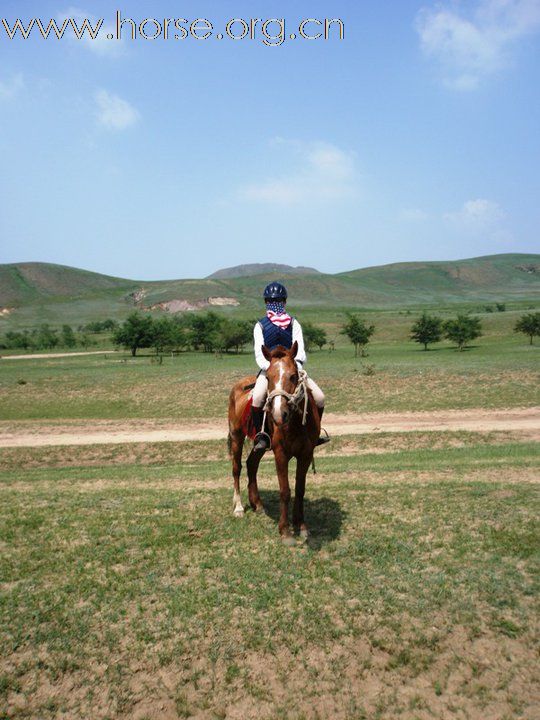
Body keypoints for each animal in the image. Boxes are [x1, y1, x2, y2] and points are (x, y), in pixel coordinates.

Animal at [228, 340, 320, 544]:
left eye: (293, 376)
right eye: (269, 378)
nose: (279, 415)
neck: (295, 423)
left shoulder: (306, 454)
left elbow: (299, 489)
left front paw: (301, 525)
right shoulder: (281, 454)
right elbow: (285, 491)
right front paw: (285, 531)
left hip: (260, 445)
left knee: (251, 464)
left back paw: (258, 504)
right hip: (237, 437)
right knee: (237, 468)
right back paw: (239, 507)